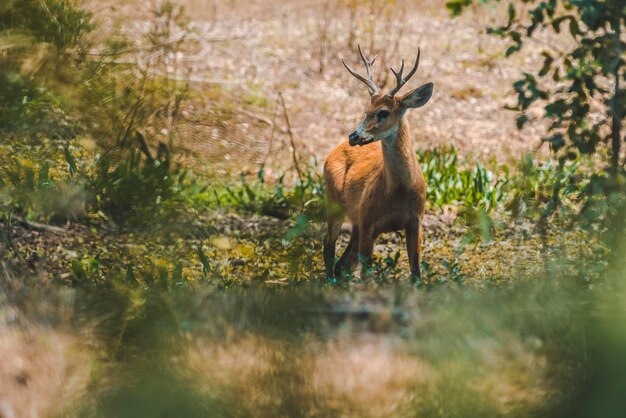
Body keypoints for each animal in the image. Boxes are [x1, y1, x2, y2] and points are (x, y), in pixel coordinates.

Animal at [322, 45, 428, 284]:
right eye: (366, 111)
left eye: (383, 112)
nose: (353, 136)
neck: (399, 191)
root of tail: (333, 151)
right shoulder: (368, 221)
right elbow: (366, 275)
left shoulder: (416, 220)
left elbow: (416, 272)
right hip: (334, 202)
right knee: (328, 245)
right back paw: (330, 283)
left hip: (355, 220)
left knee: (344, 263)